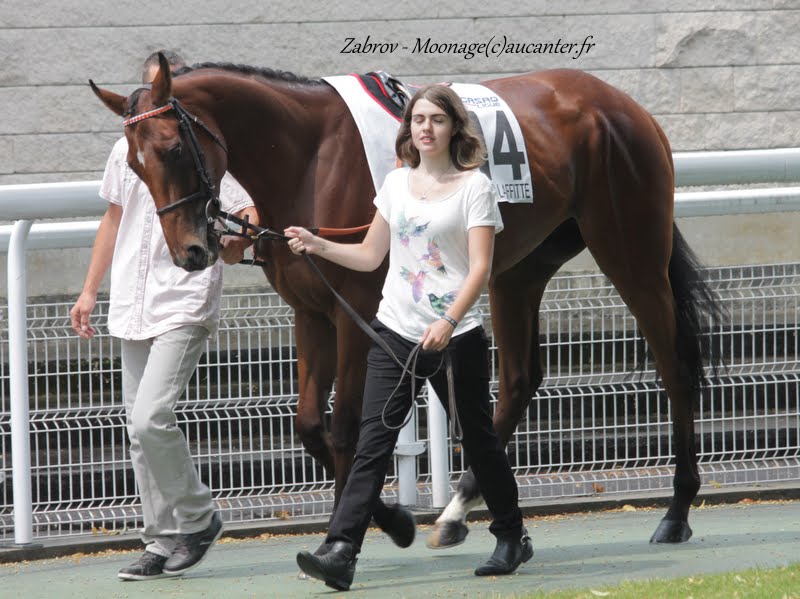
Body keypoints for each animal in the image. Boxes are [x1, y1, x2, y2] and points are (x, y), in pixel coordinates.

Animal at [90, 54, 720, 552]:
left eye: (173, 148)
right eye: (133, 165)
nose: (191, 251)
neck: (310, 155)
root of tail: (624, 106)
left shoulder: (354, 310)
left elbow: (347, 426)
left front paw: (352, 529)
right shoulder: (311, 310)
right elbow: (310, 424)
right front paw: (387, 516)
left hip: (631, 252)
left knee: (673, 365)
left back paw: (676, 510)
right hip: (518, 268)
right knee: (518, 381)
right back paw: (456, 511)